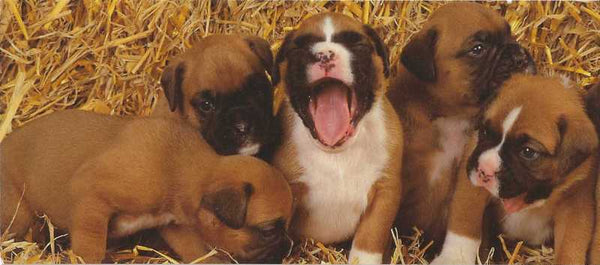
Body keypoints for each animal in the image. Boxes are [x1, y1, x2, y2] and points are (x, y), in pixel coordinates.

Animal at [0, 109, 296, 262]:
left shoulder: (175, 227)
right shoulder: (91, 197)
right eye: (269, 231)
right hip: (19, 215)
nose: (287, 249)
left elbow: (196, 251)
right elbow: (91, 246)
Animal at [272, 12, 404, 264]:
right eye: (299, 47)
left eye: (357, 43)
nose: (324, 55)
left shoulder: (385, 192)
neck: (337, 154)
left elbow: (369, 240)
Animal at [434, 73, 596, 262]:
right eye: (484, 132)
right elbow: (465, 221)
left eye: (528, 152)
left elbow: (571, 245)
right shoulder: (471, 180)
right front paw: (453, 258)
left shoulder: (575, 205)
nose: (485, 170)